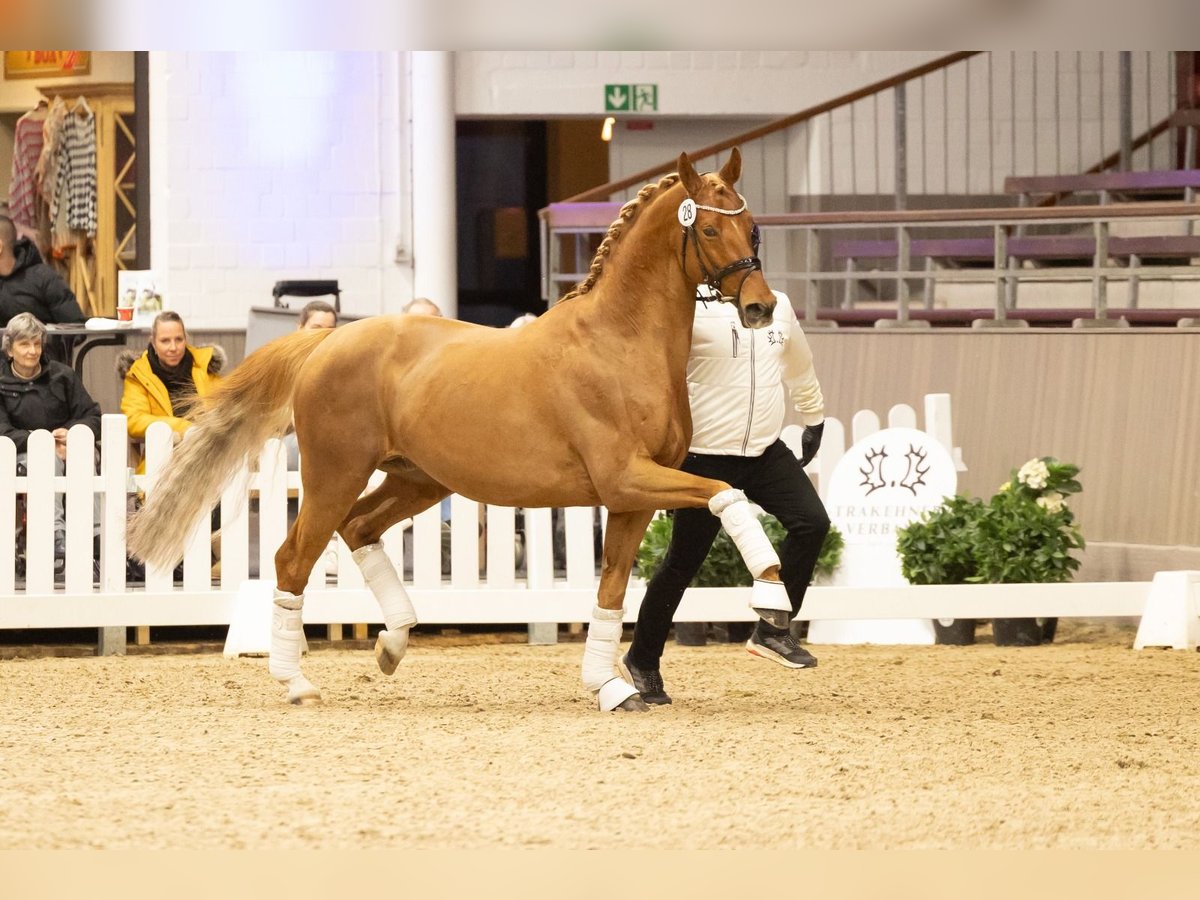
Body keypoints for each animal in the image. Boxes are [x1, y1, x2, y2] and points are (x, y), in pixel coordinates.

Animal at [128, 148, 793, 712]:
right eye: (710, 230)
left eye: (751, 225)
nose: (760, 306)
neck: (620, 342)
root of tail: (327, 340)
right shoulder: (627, 479)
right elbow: (726, 493)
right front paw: (772, 599)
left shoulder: (630, 500)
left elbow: (611, 591)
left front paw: (610, 687)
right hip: (335, 476)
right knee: (293, 559)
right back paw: (297, 682)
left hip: (419, 479)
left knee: (359, 528)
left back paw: (393, 643)